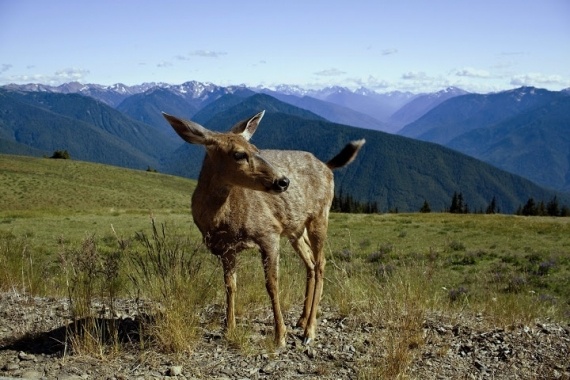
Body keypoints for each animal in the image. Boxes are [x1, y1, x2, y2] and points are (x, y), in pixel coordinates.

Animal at [161, 110, 364, 348]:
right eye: (239, 154)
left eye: (257, 149)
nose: (283, 181)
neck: (222, 219)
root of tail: (327, 166)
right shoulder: (226, 248)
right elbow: (230, 284)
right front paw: (229, 328)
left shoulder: (268, 232)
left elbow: (271, 284)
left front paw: (280, 335)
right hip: (295, 228)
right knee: (311, 263)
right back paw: (302, 320)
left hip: (320, 214)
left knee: (321, 263)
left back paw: (310, 331)